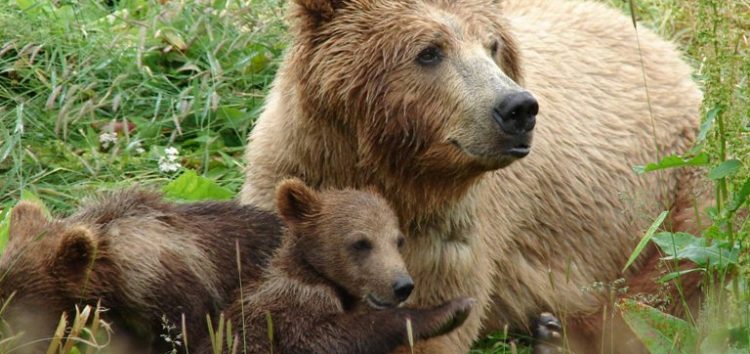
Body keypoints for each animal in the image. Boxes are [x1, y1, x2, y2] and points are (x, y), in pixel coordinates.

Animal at [239, 0, 704, 352]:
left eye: (493, 45)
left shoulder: (452, 234)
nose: (518, 108)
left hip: (678, 182)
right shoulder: (293, 176)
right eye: (429, 51)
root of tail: (657, 40)